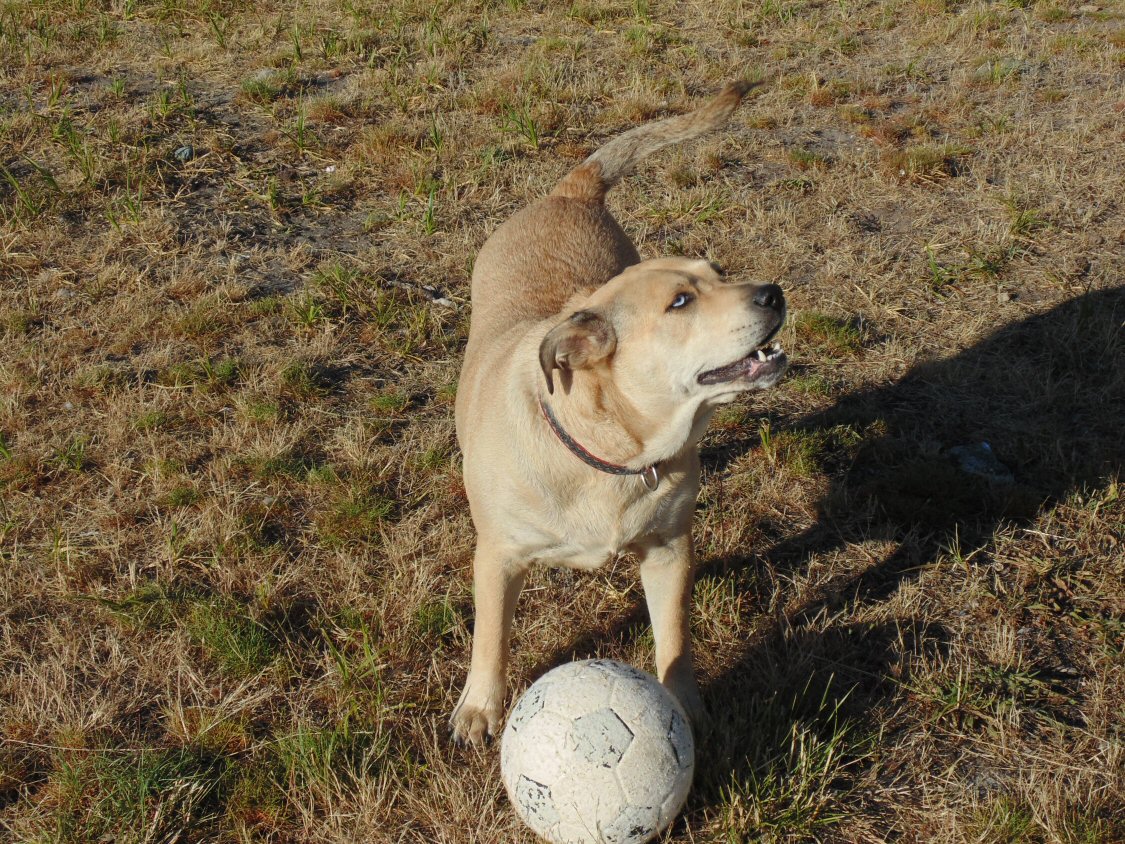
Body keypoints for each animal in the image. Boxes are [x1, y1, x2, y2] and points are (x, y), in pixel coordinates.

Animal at [452, 82, 787, 747]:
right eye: (680, 302)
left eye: (717, 272)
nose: (773, 292)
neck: (609, 451)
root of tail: (569, 190)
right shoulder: (498, 556)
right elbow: (491, 637)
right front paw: (480, 708)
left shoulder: (669, 549)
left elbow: (675, 638)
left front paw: (686, 710)